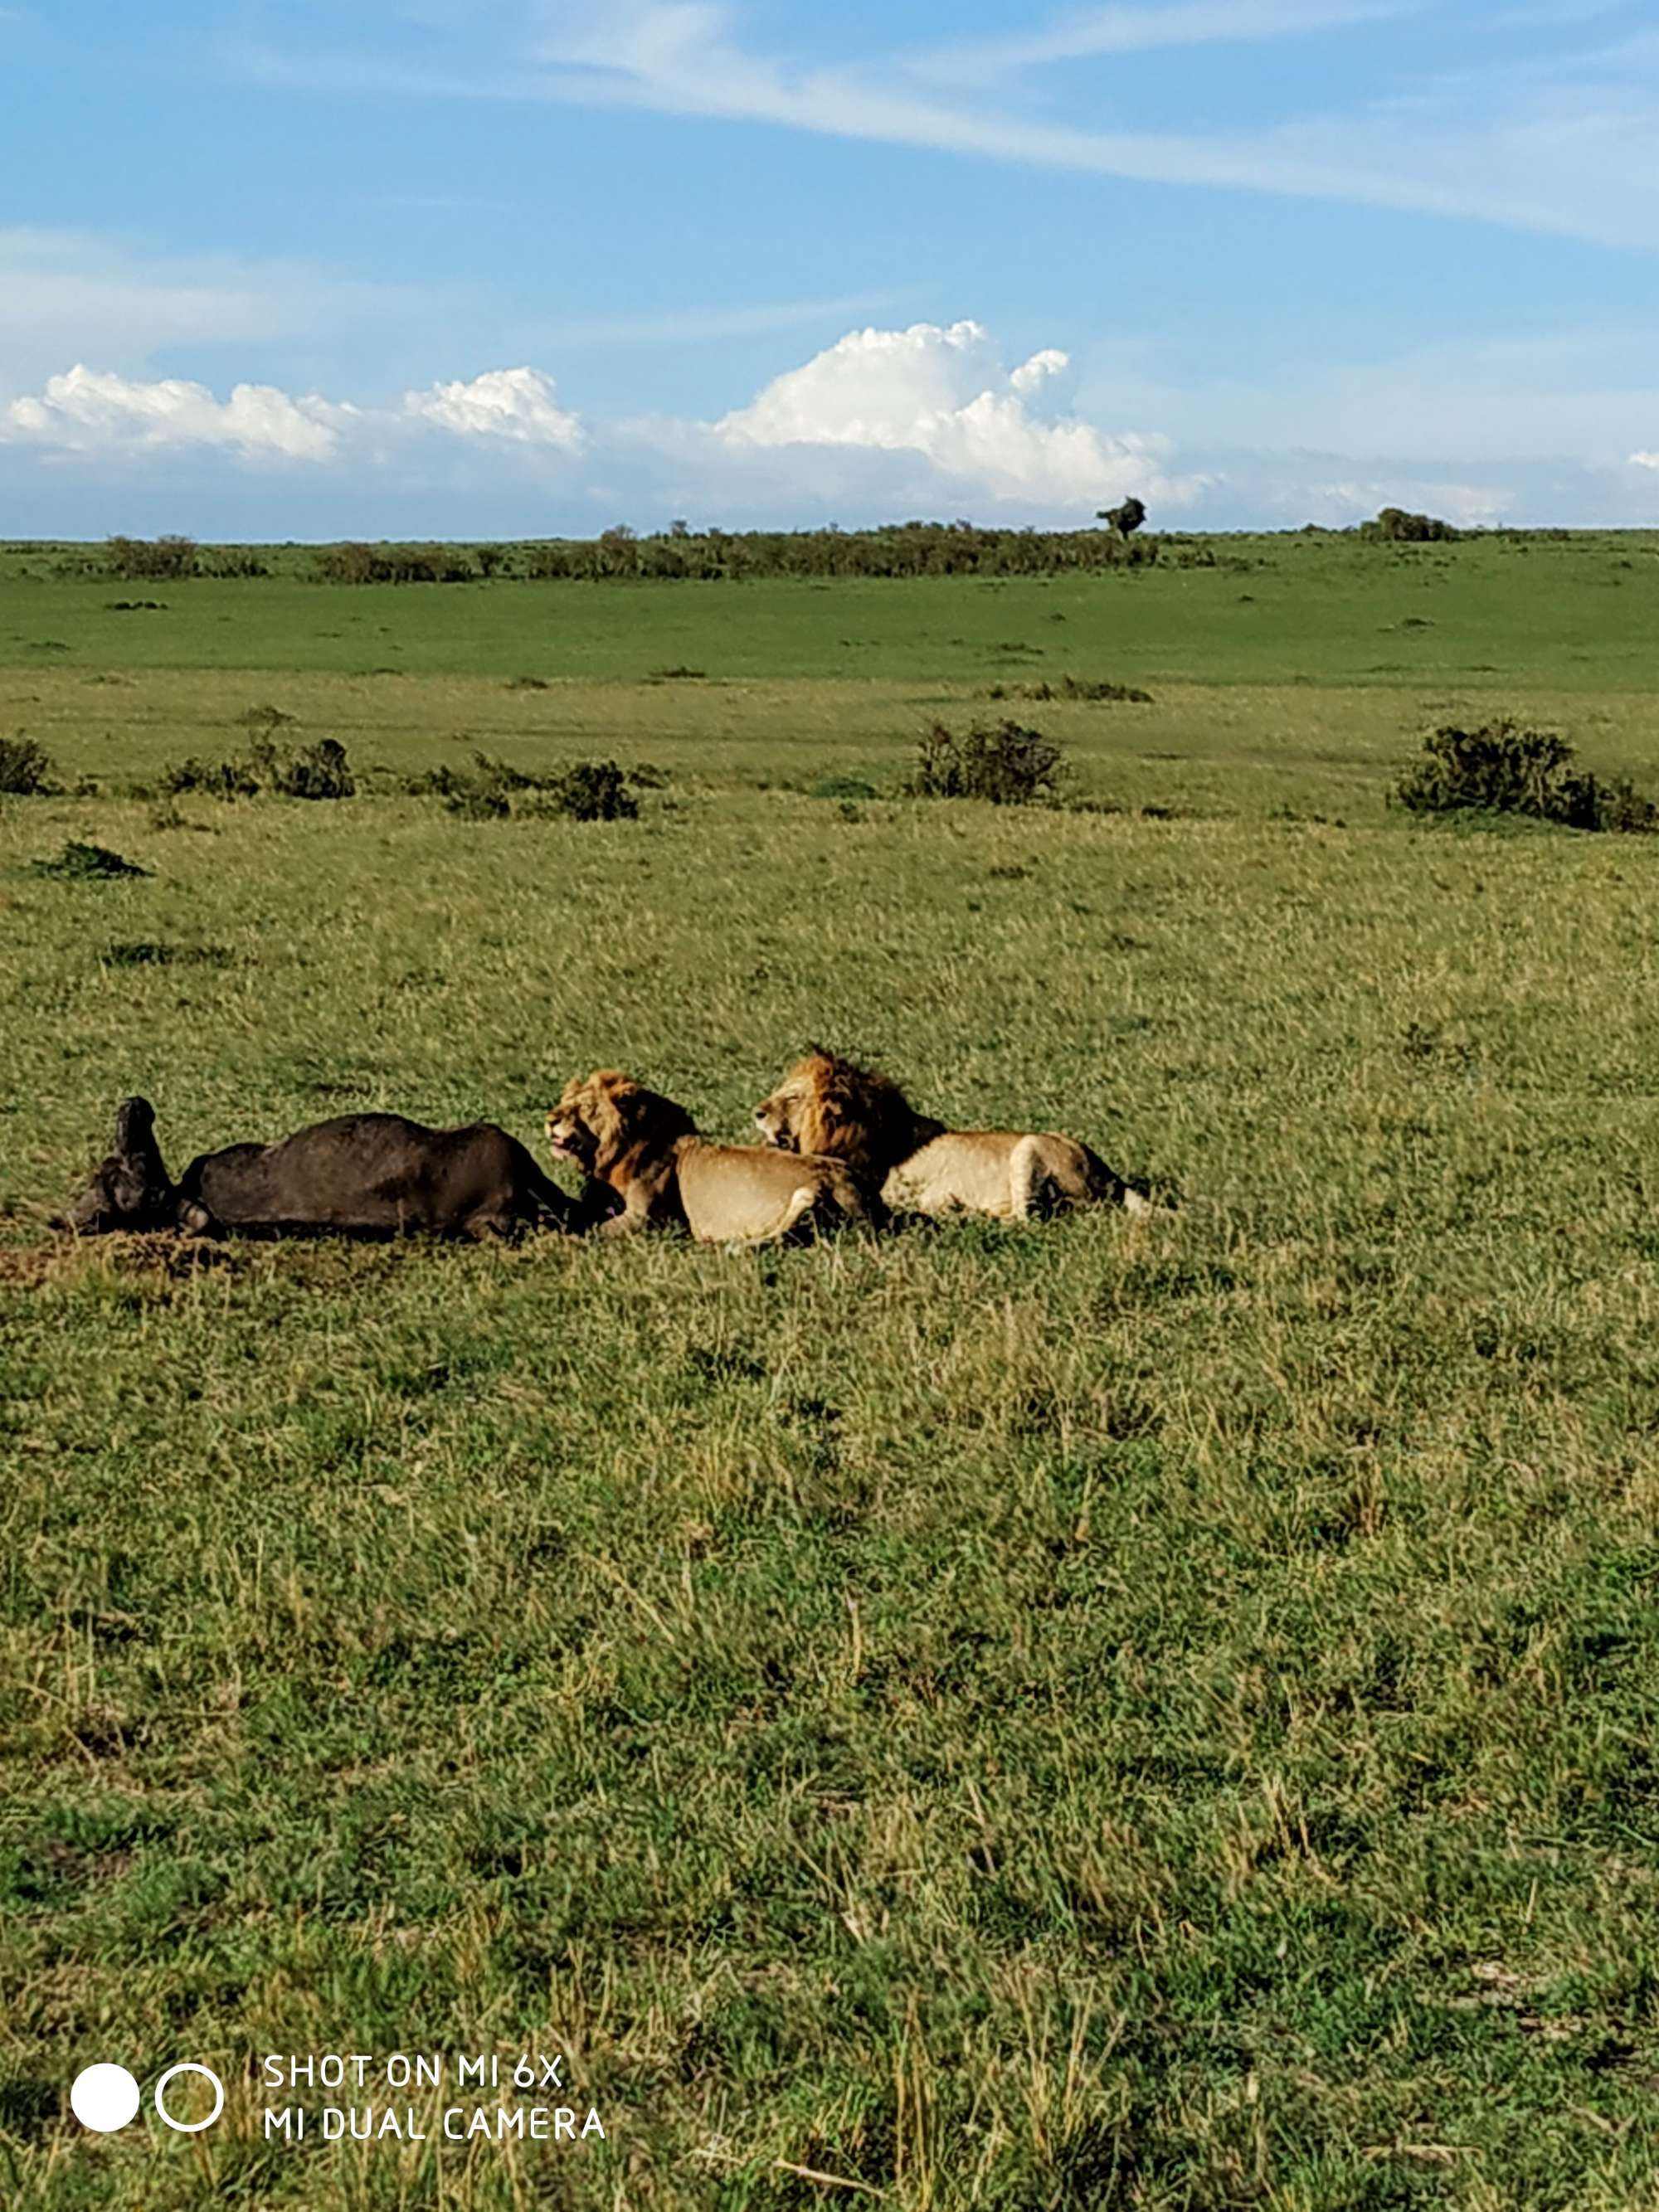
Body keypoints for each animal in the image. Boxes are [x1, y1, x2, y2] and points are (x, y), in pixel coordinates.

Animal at [546, 1070, 884, 1247]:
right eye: (564, 1102)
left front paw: (556, 1242)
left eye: (585, 1107)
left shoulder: (647, 1219)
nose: (550, 1120)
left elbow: (593, 1231)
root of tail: (847, 1185)